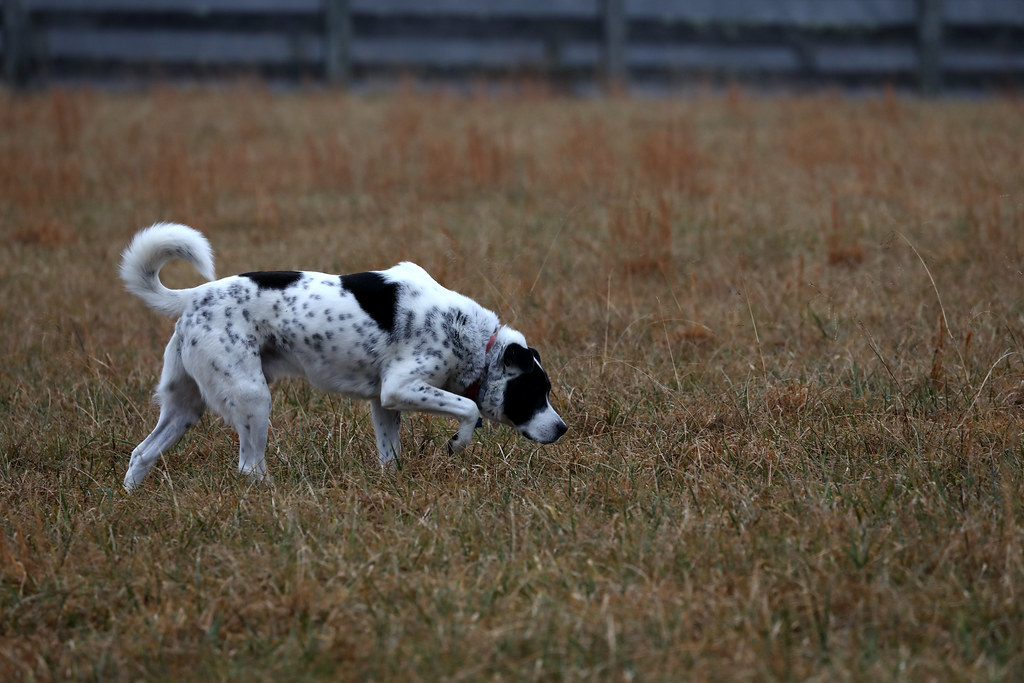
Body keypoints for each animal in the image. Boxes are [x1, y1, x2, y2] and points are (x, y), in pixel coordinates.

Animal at [119, 222, 569, 489]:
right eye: (534, 392)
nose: (563, 429)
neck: (476, 340)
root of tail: (193, 297)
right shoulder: (401, 386)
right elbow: (468, 409)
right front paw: (457, 444)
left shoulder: (385, 403)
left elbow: (391, 455)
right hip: (252, 398)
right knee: (249, 468)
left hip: (185, 407)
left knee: (141, 453)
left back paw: (129, 498)